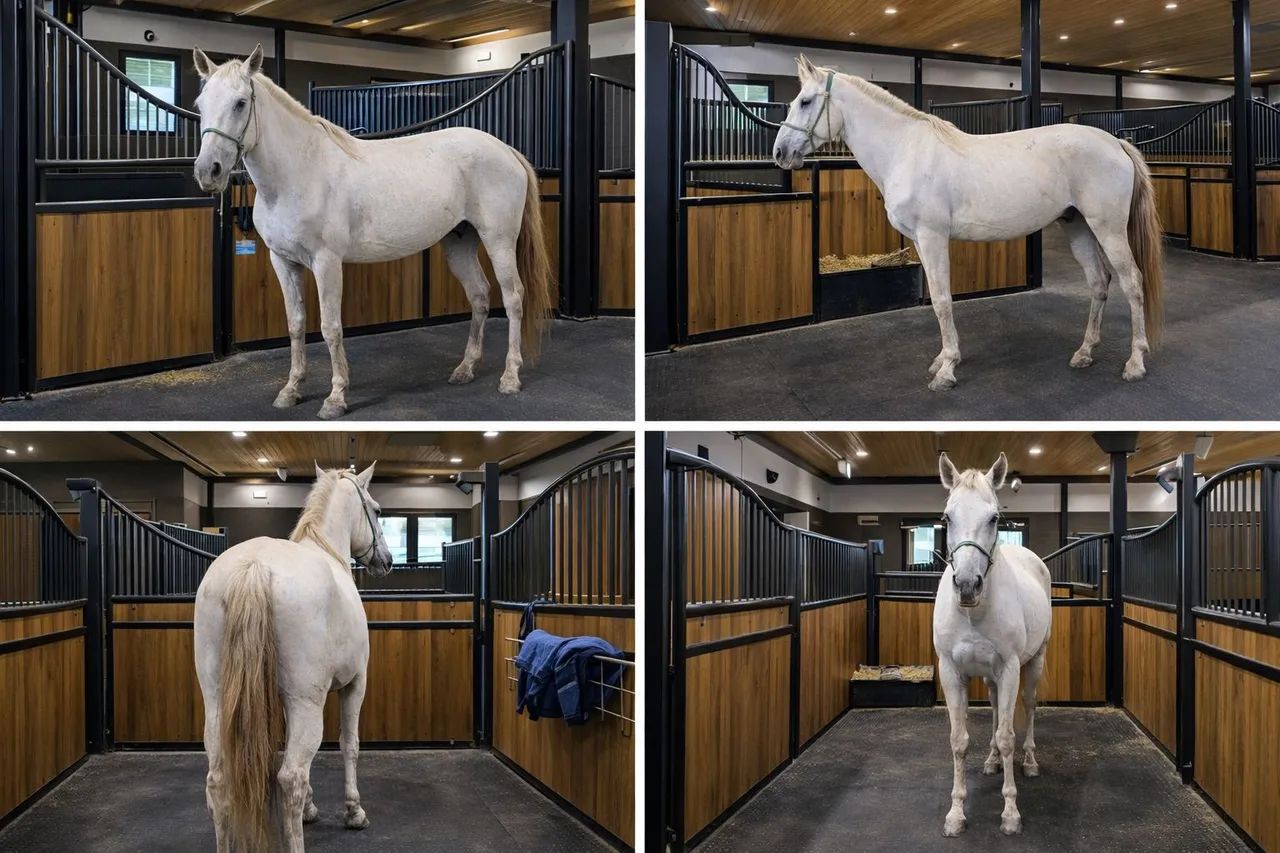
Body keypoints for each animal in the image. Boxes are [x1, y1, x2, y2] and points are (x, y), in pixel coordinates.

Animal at [191, 45, 553, 419]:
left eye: (240, 103)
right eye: (200, 104)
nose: (208, 172)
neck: (300, 172)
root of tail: (505, 149)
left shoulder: (326, 262)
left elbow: (330, 327)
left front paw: (336, 398)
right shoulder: (283, 262)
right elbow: (295, 324)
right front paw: (291, 390)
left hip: (499, 242)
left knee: (513, 298)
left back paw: (510, 377)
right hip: (460, 242)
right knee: (480, 295)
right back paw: (465, 369)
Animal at [193, 463, 394, 852]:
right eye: (377, 510)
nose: (387, 561)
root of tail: (254, 566)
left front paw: (311, 809)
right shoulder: (354, 684)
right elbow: (349, 745)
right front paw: (354, 812)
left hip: (216, 702)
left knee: (218, 781)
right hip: (307, 702)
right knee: (290, 778)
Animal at [774, 56, 1164, 392]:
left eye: (805, 101)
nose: (780, 153)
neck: (906, 150)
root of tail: (1115, 142)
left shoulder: (933, 237)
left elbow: (942, 300)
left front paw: (946, 368)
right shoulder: (921, 241)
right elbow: (937, 297)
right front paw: (944, 360)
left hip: (1108, 229)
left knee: (1132, 283)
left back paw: (1135, 362)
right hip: (1078, 226)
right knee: (1099, 283)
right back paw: (1084, 352)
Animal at [931, 452, 1052, 837]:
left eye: (994, 517)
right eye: (947, 517)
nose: (968, 585)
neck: (974, 612)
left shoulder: (1010, 669)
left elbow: (1007, 736)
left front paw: (1011, 812)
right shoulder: (952, 672)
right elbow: (959, 740)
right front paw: (956, 813)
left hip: (1034, 663)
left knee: (1027, 708)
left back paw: (1029, 762)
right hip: (989, 677)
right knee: (999, 709)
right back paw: (991, 760)